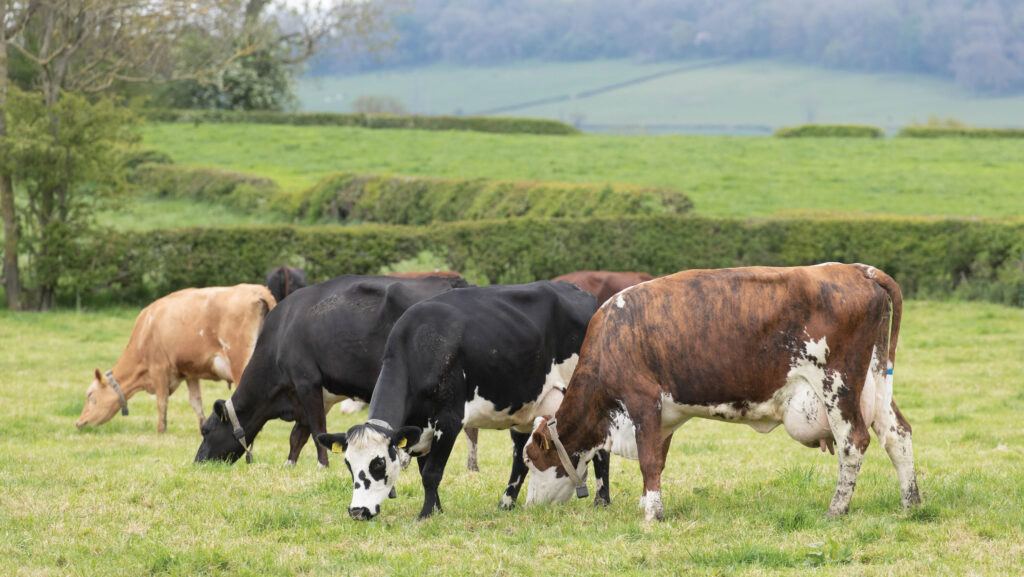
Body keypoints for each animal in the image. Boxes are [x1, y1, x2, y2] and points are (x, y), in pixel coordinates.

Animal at [76, 284, 275, 433]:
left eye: (90, 395)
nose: (79, 422)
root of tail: (258, 290)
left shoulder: (158, 368)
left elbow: (161, 401)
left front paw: (160, 429)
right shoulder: (190, 372)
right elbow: (196, 402)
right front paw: (202, 426)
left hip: (240, 362)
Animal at [194, 274, 468, 467]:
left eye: (206, 431)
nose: (198, 461)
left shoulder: (307, 382)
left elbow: (317, 431)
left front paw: (322, 465)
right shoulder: (304, 396)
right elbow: (298, 435)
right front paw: (290, 464)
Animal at [315, 281, 605, 521]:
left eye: (378, 463)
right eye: (348, 464)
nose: (357, 511)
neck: (421, 345)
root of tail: (580, 291)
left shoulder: (449, 420)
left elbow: (432, 473)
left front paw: (425, 515)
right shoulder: (421, 429)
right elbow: (424, 471)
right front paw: (436, 510)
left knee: (600, 450)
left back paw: (602, 500)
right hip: (526, 408)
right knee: (519, 455)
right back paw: (506, 503)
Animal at [523, 264, 922, 522]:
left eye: (530, 460)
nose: (528, 506)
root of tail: (857, 269)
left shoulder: (642, 401)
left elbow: (648, 460)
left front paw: (652, 514)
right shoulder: (664, 415)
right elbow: (658, 459)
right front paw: (649, 505)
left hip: (838, 385)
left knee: (854, 442)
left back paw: (837, 509)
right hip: (873, 382)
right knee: (897, 434)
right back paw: (911, 503)